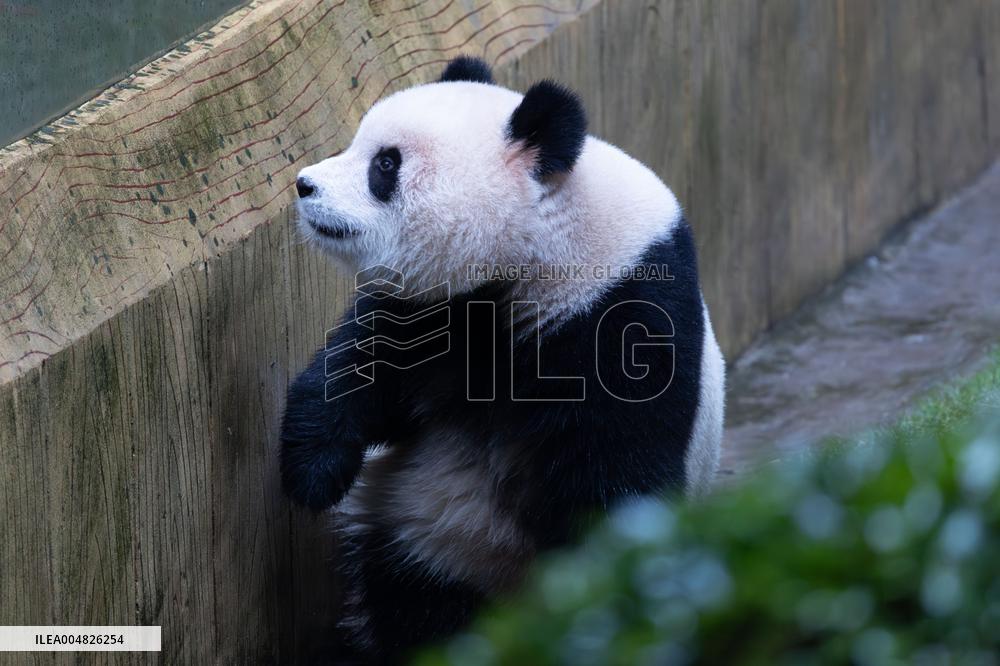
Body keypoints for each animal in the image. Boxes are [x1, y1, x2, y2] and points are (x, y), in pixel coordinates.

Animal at [281, 56, 725, 663]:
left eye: (385, 165)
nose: (305, 185)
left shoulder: (624, 316)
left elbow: (616, 475)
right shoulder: (438, 311)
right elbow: (363, 367)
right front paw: (314, 471)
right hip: (428, 529)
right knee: (414, 596)